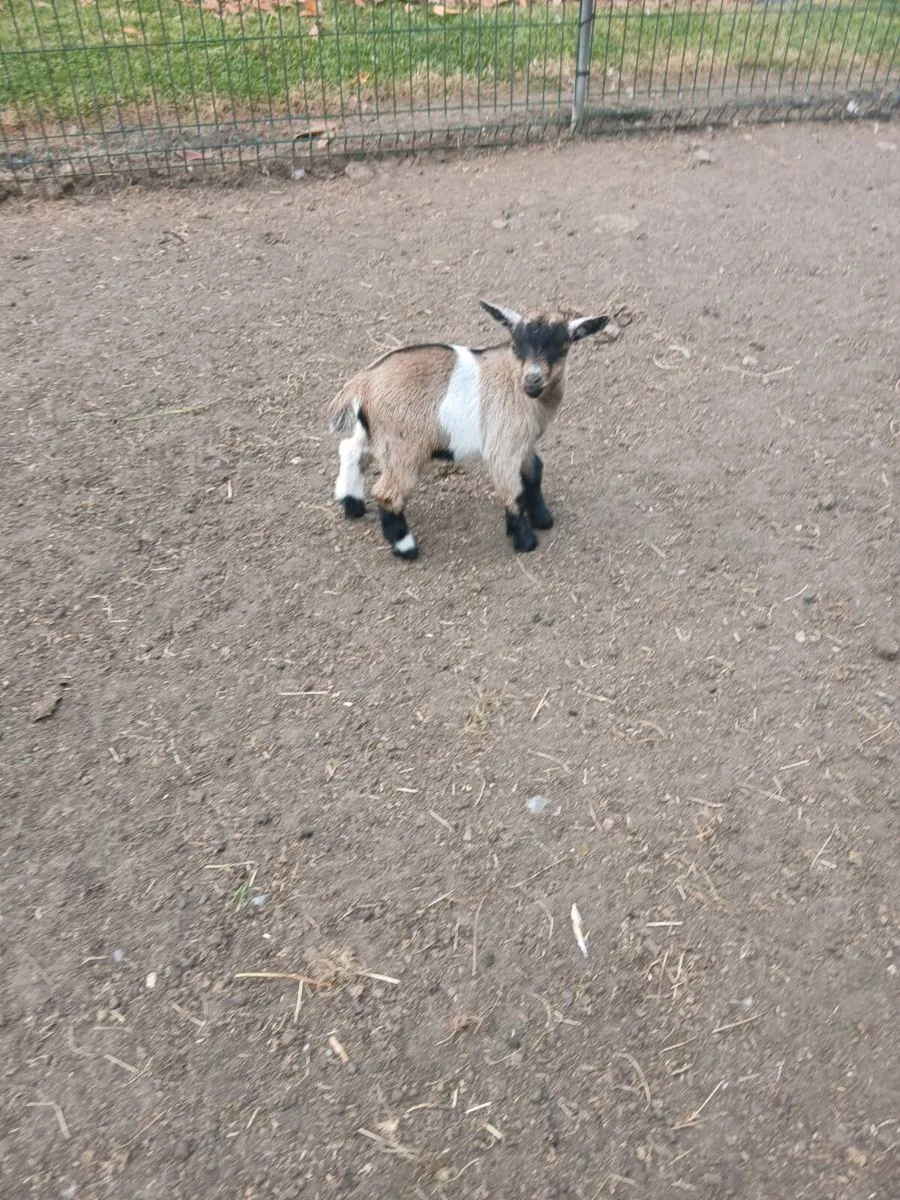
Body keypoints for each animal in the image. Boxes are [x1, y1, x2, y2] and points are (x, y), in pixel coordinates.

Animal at [328, 300, 613, 560]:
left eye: (563, 347)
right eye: (515, 345)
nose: (532, 380)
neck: (514, 382)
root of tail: (364, 382)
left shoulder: (523, 443)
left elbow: (534, 473)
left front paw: (543, 519)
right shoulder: (502, 446)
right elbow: (513, 490)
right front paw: (525, 540)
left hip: (376, 435)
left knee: (350, 450)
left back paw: (351, 504)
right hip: (403, 447)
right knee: (387, 493)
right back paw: (406, 548)